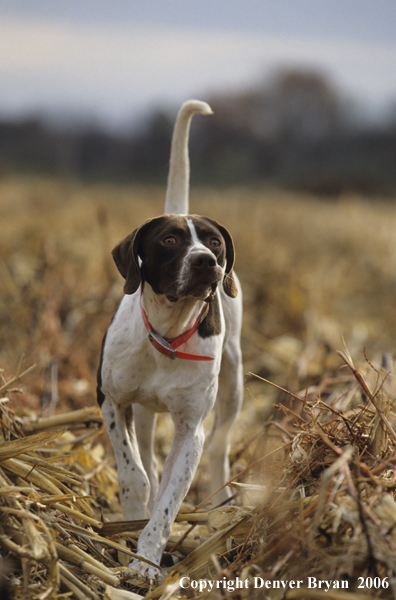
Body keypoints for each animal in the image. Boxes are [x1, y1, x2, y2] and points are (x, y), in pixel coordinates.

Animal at [97, 101, 243, 580]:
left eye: (214, 242)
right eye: (170, 238)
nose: (207, 262)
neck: (167, 334)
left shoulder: (189, 429)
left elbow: (169, 500)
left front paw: (145, 562)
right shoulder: (112, 401)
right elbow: (135, 474)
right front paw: (129, 527)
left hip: (232, 384)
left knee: (220, 447)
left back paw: (222, 506)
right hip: (142, 411)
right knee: (145, 452)